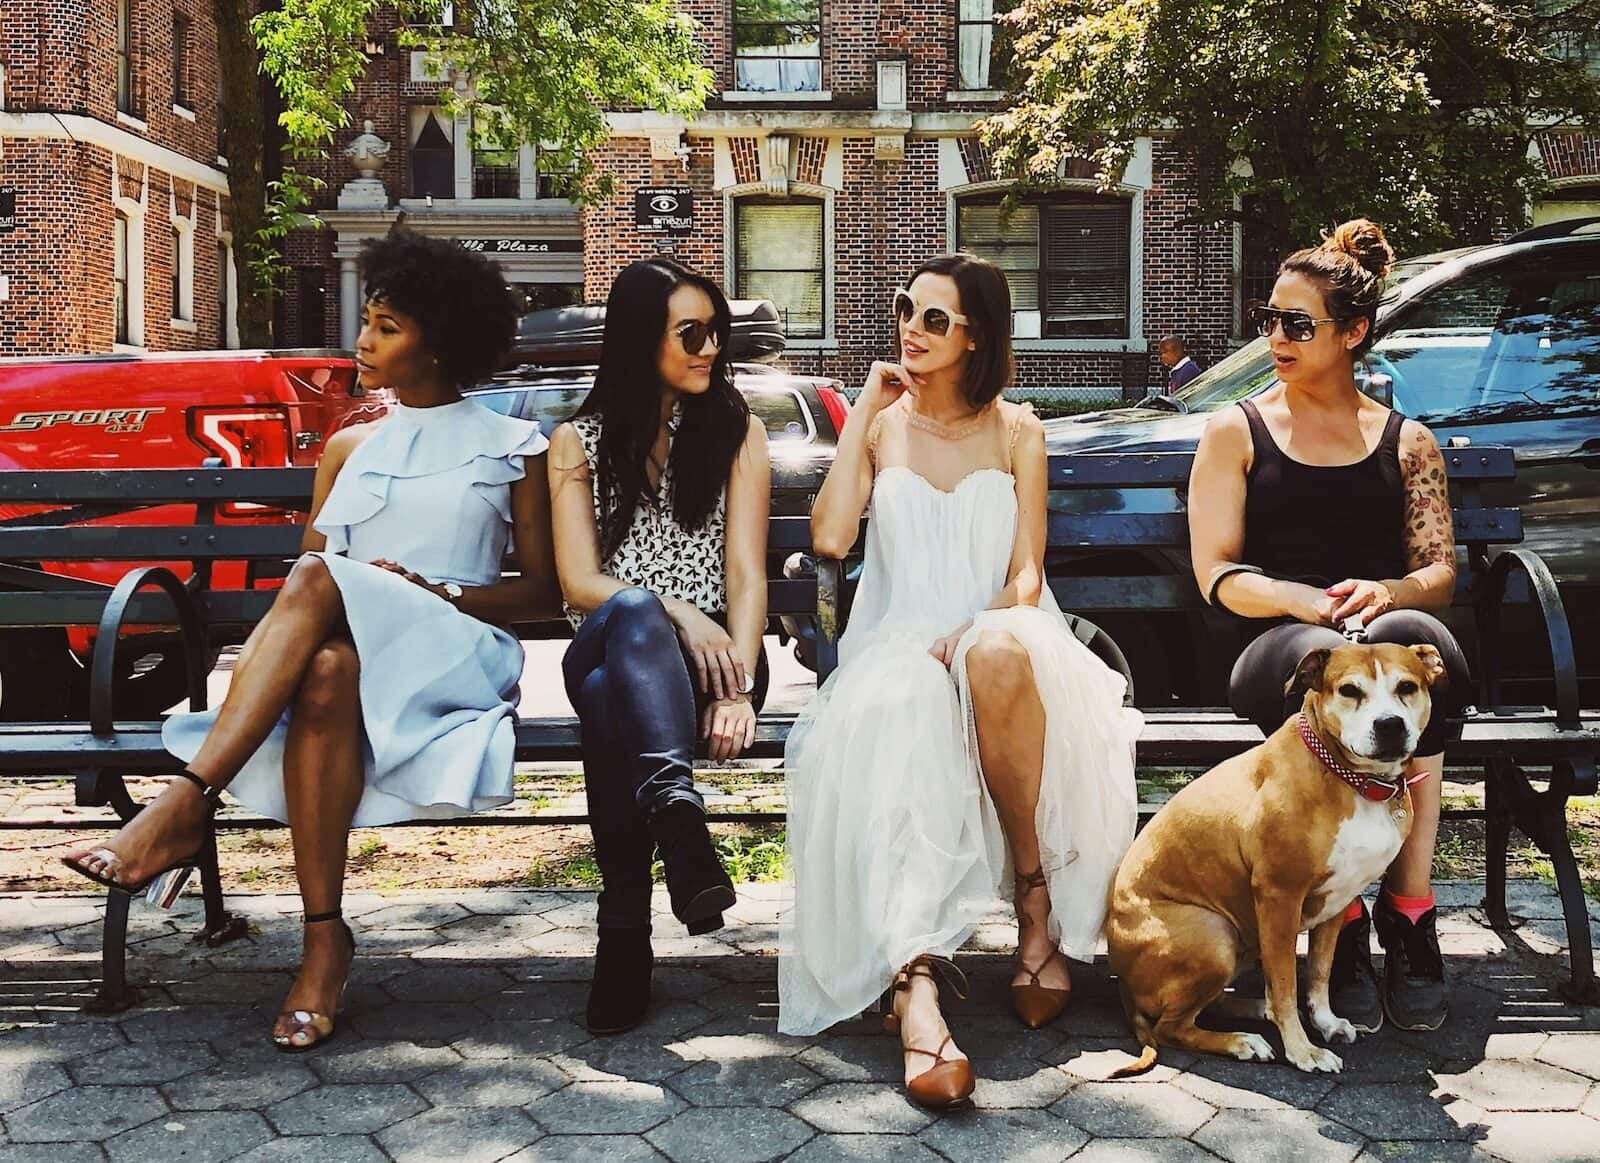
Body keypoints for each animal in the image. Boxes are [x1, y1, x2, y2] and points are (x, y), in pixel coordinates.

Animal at [1107, 639, 1446, 1075]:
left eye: (1407, 687)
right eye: (1349, 691)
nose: (1389, 725)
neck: (1350, 779)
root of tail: (1122, 982)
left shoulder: (1338, 901)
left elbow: (1319, 971)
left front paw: (1325, 1022)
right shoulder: (1279, 898)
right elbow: (1286, 983)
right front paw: (1303, 1051)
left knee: (1210, 1004)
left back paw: (1255, 1009)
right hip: (1215, 934)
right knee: (1172, 1027)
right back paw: (1241, 1041)